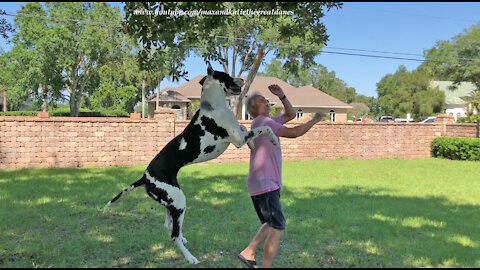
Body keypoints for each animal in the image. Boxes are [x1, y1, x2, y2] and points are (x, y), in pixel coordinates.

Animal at [104, 62, 278, 264]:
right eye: (227, 75)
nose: (242, 79)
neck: (213, 106)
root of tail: (145, 177)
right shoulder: (238, 139)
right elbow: (263, 128)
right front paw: (273, 139)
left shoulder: (240, 134)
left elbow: (245, 126)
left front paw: (253, 143)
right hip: (179, 202)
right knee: (174, 235)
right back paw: (190, 257)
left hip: (172, 202)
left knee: (168, 224)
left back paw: (184, 240)